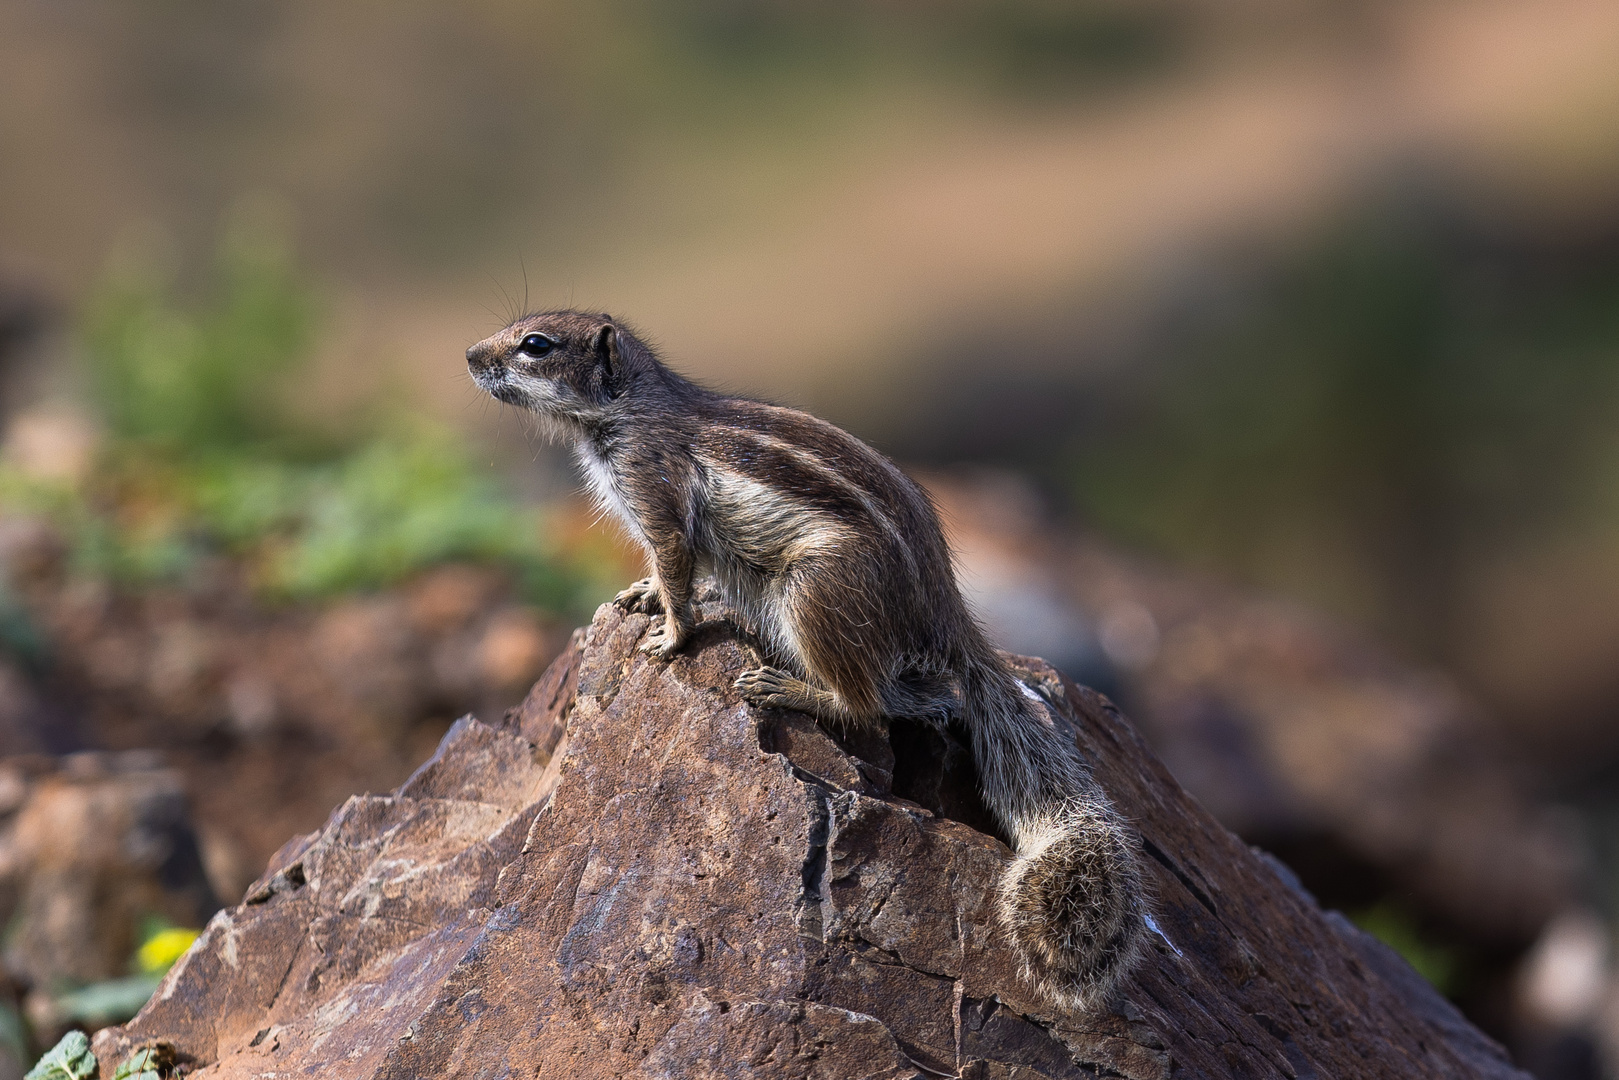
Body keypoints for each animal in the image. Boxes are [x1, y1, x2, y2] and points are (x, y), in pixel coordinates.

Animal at [466, 312, 1152, 1016]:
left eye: (536, 345)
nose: (469, 356)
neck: (629, 411)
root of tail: (947, 609)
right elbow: (665, 575)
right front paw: (642, 595)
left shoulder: (654, 492)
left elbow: (678, 568)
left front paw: (670, 636)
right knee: (914, 697)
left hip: (813, 592)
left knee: (864, 702)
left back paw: (787, 687)